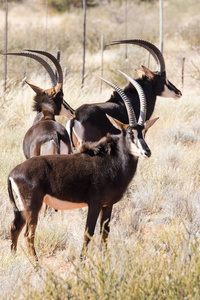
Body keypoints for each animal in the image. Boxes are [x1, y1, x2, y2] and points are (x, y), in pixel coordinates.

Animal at [7, 74, 158, 260]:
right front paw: (82, 262)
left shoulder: (108, 205)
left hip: (23, 207)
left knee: (15, 226)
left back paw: (14, 257)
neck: (112, 160)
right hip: (33, 205)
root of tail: (13, 173)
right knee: (29, 234)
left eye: (143, 133)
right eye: (129, 133)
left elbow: (104, 232)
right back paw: (37, 264)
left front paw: (104, 259)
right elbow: (88, 233)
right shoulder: (94, 203)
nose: (146, 151)